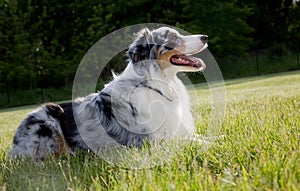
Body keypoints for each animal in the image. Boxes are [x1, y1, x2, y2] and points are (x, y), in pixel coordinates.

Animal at [9, 26, 207, 160]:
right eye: (173, 37)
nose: (205, 36)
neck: (152, 84)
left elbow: (203, 137)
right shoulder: (152, 142)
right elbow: (199, 142)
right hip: (47, 123)